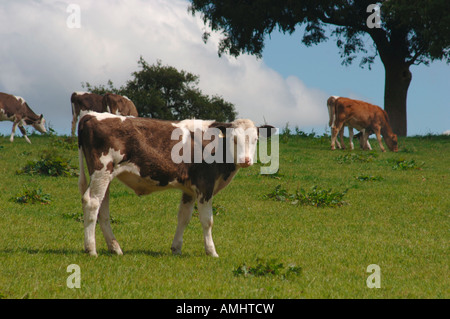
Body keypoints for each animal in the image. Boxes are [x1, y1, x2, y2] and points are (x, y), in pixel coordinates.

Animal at [78, 112, 274, 258]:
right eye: (234, 139)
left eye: (256, 140)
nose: (245, 160)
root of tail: (91, 115)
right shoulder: (205, 186)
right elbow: (207, 220)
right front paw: (211, 251)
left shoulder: (190, 190)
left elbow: (184, 217)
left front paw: (176, 248)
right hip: (102, 170)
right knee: (92, 202)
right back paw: (91, 249)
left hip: (105, 177)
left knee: (103, 209)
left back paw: (115, 248)